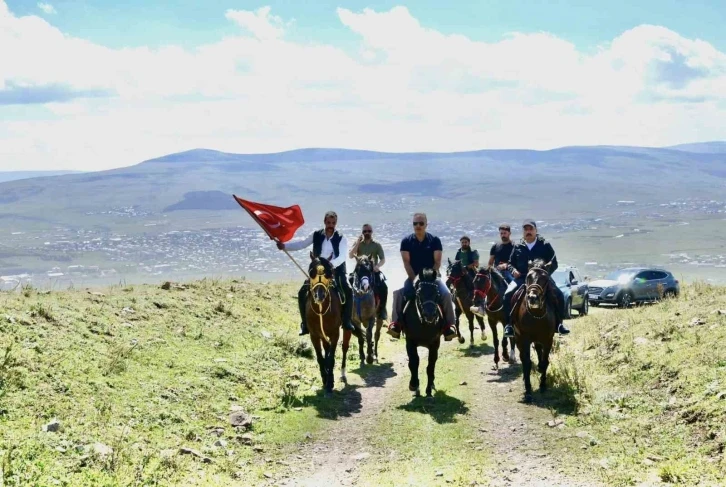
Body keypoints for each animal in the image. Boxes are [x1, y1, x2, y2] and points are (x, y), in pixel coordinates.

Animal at [398, 268, 444, 398]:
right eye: (419, 293)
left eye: (437, 293)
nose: (430, 315)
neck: (423, 323)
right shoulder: (410, 341)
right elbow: (414, 363)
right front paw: (414, 385)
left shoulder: (434, 344)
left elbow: (430, 366)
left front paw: (428, 391)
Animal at [512, 260, 556, 404]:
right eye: (528, 277)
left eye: (545, 278)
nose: (532, 298)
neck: (536, 316)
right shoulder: (523, 339)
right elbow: (526, 363)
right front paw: (528, 391)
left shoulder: (548, 339)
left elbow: (545, 361)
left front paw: (543, 385)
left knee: (538, 351)